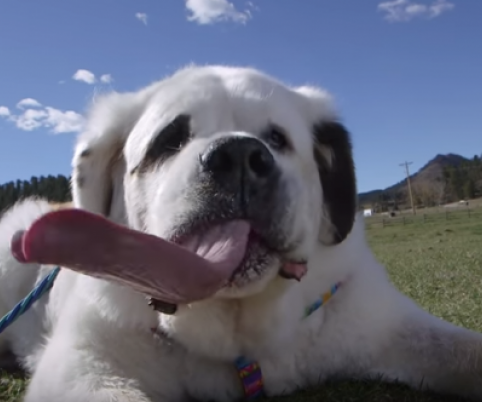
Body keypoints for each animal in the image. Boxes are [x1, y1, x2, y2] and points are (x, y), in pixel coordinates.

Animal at [0, 64, 482, 400]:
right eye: (169, 141)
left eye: (278, 139)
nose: (238, 155)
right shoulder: (84, 364)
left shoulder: (378, 319)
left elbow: (461, 348)